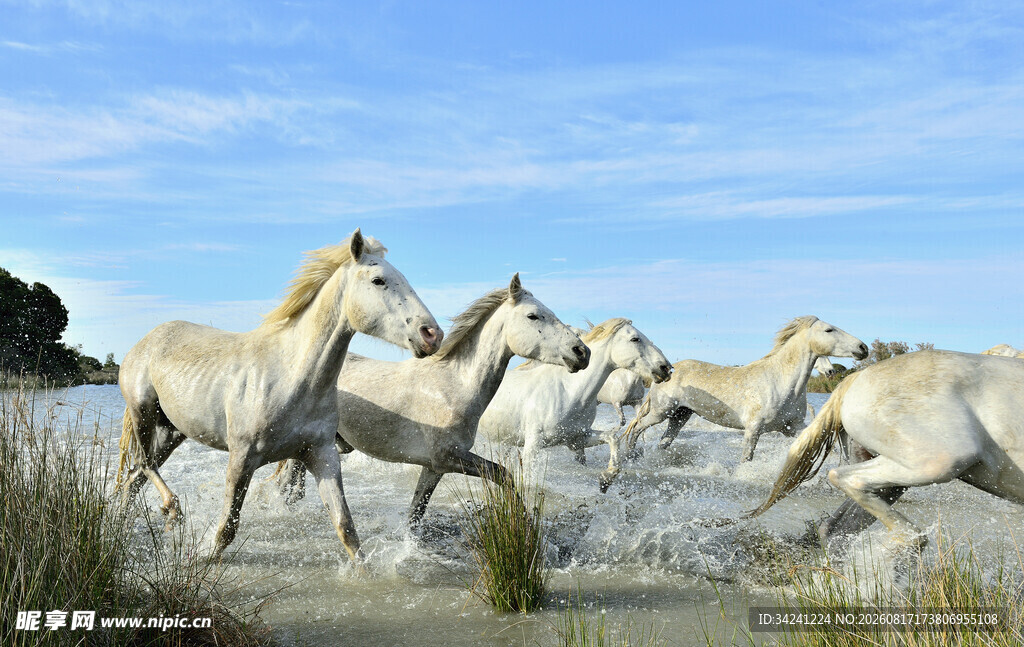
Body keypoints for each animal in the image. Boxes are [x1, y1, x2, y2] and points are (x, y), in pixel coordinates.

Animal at [115, 230, 442, 562]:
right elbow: (226, 530)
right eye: (379, 280)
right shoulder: (241, 458)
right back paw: (172, 513)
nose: (432, 335)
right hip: (143, 412)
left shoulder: (322, 455)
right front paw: (201, 557)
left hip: (172, 432)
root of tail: (143, 342)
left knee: (133, 479)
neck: (291, 378)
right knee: (144, 465)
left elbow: (347, 530)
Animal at [274, 274, 590, 528]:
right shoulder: (449, 457)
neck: (455, 386)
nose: (582, 352)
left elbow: (416, 513)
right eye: (533, 316)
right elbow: (504, 474)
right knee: (289, 478)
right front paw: (523, 522)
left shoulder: (434, 467)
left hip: (336, 444)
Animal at [477, 318, 672, 471]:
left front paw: (608, 477)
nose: (666, 367)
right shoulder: (533, 446)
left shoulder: (577, 440)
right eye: (635, 339)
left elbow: (612, 438)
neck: (569, 392)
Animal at [599, 316, 867, 491]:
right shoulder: (753, 429)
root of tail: (666, 371)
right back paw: (632, 455)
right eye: (829, 330)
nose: (862, 347)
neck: (781, 381)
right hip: (661, 411)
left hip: (680, 416)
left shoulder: (792, 427)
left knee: (663, 441)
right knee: (636, 427)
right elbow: (746, 460)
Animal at [747, 350, 1024, 548]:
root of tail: (854, 380)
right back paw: (909, 541)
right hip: (941, 460)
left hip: (891, 478)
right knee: (847, 482)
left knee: (834, 530)